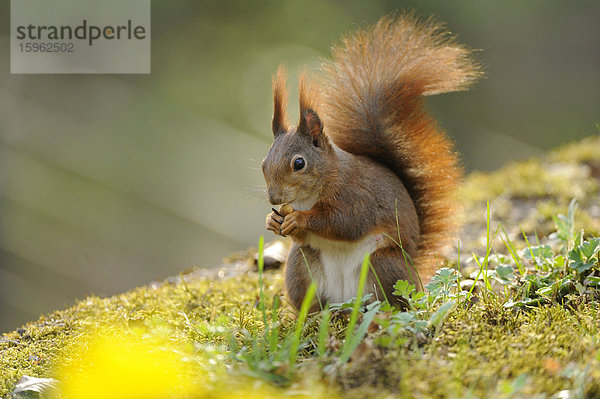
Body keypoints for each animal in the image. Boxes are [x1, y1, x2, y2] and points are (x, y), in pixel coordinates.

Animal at [262, 14, 482, 310]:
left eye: (299, 163)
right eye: (264, 163)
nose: (274, 199)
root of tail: (345, 301)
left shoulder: (357, 196)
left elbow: (346, 223)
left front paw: (299, 219)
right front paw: (272, 221)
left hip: (383, 265)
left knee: (391, 302)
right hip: (301, 266)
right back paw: (314, 314)